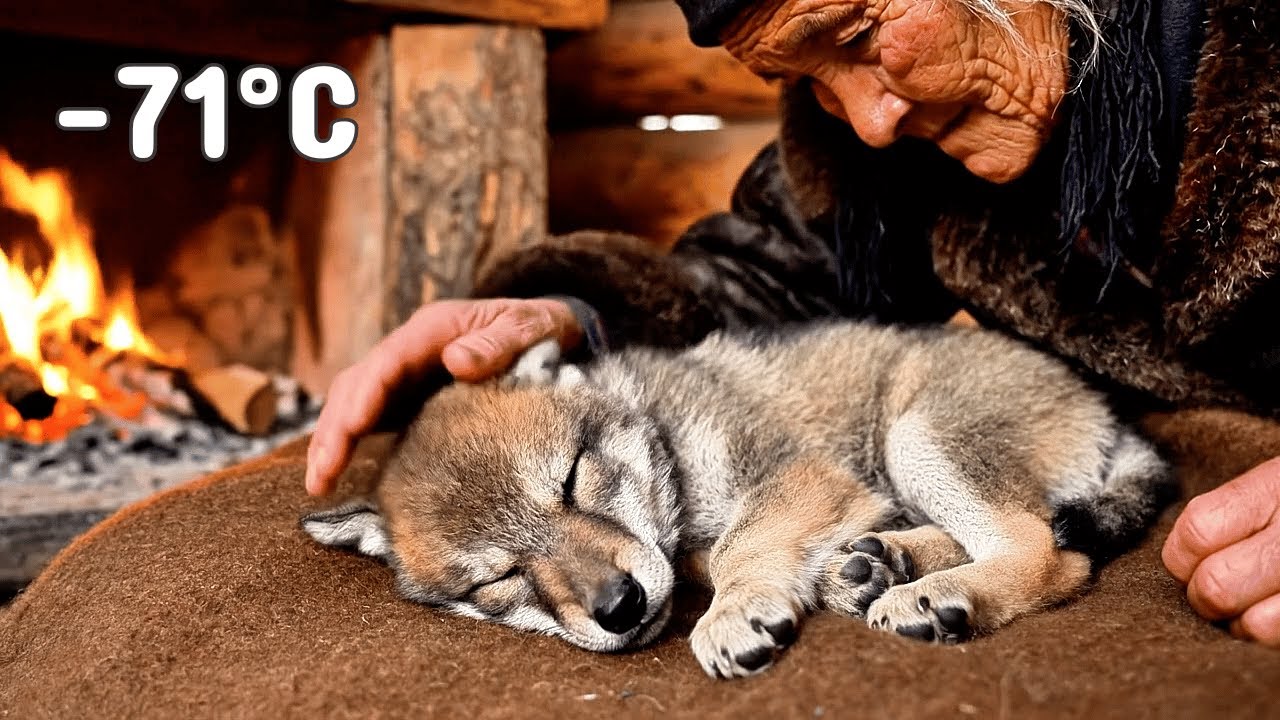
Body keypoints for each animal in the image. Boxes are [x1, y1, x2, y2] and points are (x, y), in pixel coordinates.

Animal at [301, 320, 1174, 678]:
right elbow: (715, 553)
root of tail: (1103, 410)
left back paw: (934, 595)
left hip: (917, 435)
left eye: (572, 480)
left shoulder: (801, 476)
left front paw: (733, 614)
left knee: (1049, 551)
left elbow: (737, 546)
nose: (619, 607)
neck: (665, 436)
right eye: (497, 579)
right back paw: (882, 564)